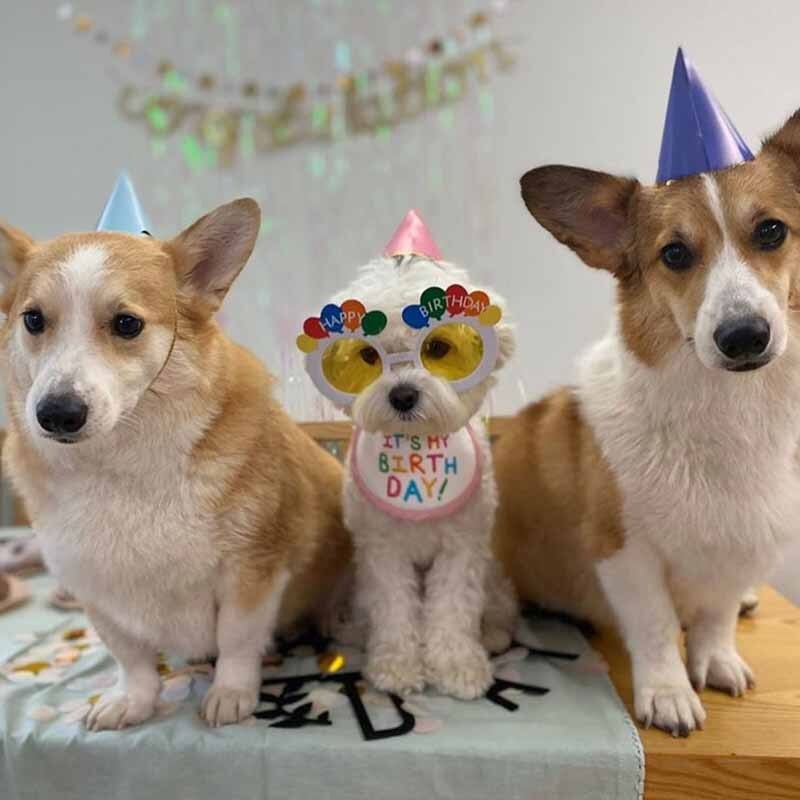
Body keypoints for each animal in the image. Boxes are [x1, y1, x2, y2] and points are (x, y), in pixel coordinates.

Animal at [306, 247, 512, 696]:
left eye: (438, 348)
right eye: (368, 356)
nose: (402, 396)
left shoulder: (461, 547)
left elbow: (453, 606)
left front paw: (457, 665)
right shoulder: (382, 549)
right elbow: (393, 607)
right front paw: (397, 665)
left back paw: (493, 633)